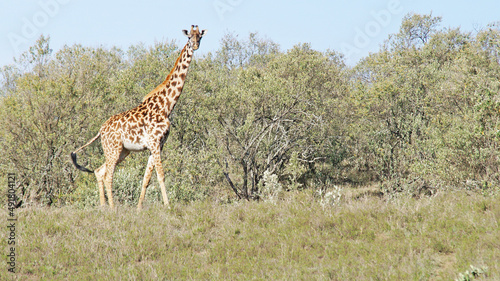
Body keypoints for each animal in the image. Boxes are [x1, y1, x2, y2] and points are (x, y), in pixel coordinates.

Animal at [70, 25, 205, 208]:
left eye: (200, 37)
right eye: (189, 37)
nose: (195, 46)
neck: (166, 106)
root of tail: (100, 130)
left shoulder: (157, 145)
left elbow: (146, 179)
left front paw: (139, 208)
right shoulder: (154, 143)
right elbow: (161, 176)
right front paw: (168, 206)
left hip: (122, 151)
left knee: (99, 171)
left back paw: (103, 206)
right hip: (113, 149)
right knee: (108, 175)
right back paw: (113, 208)